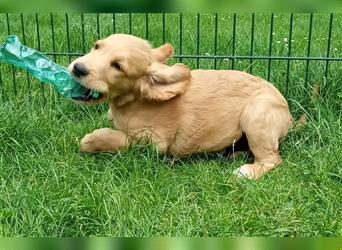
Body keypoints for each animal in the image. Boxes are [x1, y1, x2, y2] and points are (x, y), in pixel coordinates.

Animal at [68, 34, 292, 179]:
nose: (78, 68)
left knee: (272, 158)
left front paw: (93, 139)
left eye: (118, 66)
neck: (134, 101)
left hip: (257, 113)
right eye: (96, 46)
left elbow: (116, 138)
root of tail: (288, 113)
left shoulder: (153, 141)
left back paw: (246, 172)